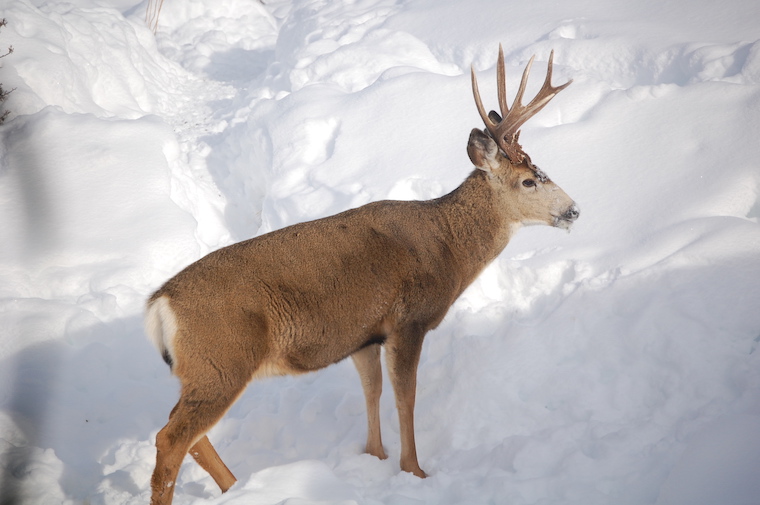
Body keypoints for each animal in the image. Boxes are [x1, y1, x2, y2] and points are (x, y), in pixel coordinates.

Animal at [144, 45, 578, 504]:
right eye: (529, 181)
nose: (573, 210)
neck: (446, 246)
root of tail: (159, 303)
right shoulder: (409, 321)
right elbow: (406, 397)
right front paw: (415, 471)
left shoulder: (364, 336)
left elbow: (373, 391)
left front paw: (375, 456)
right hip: (222, 361)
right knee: (171, 438)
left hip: (203, 372)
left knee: (190, 437)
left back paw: (238, 487)